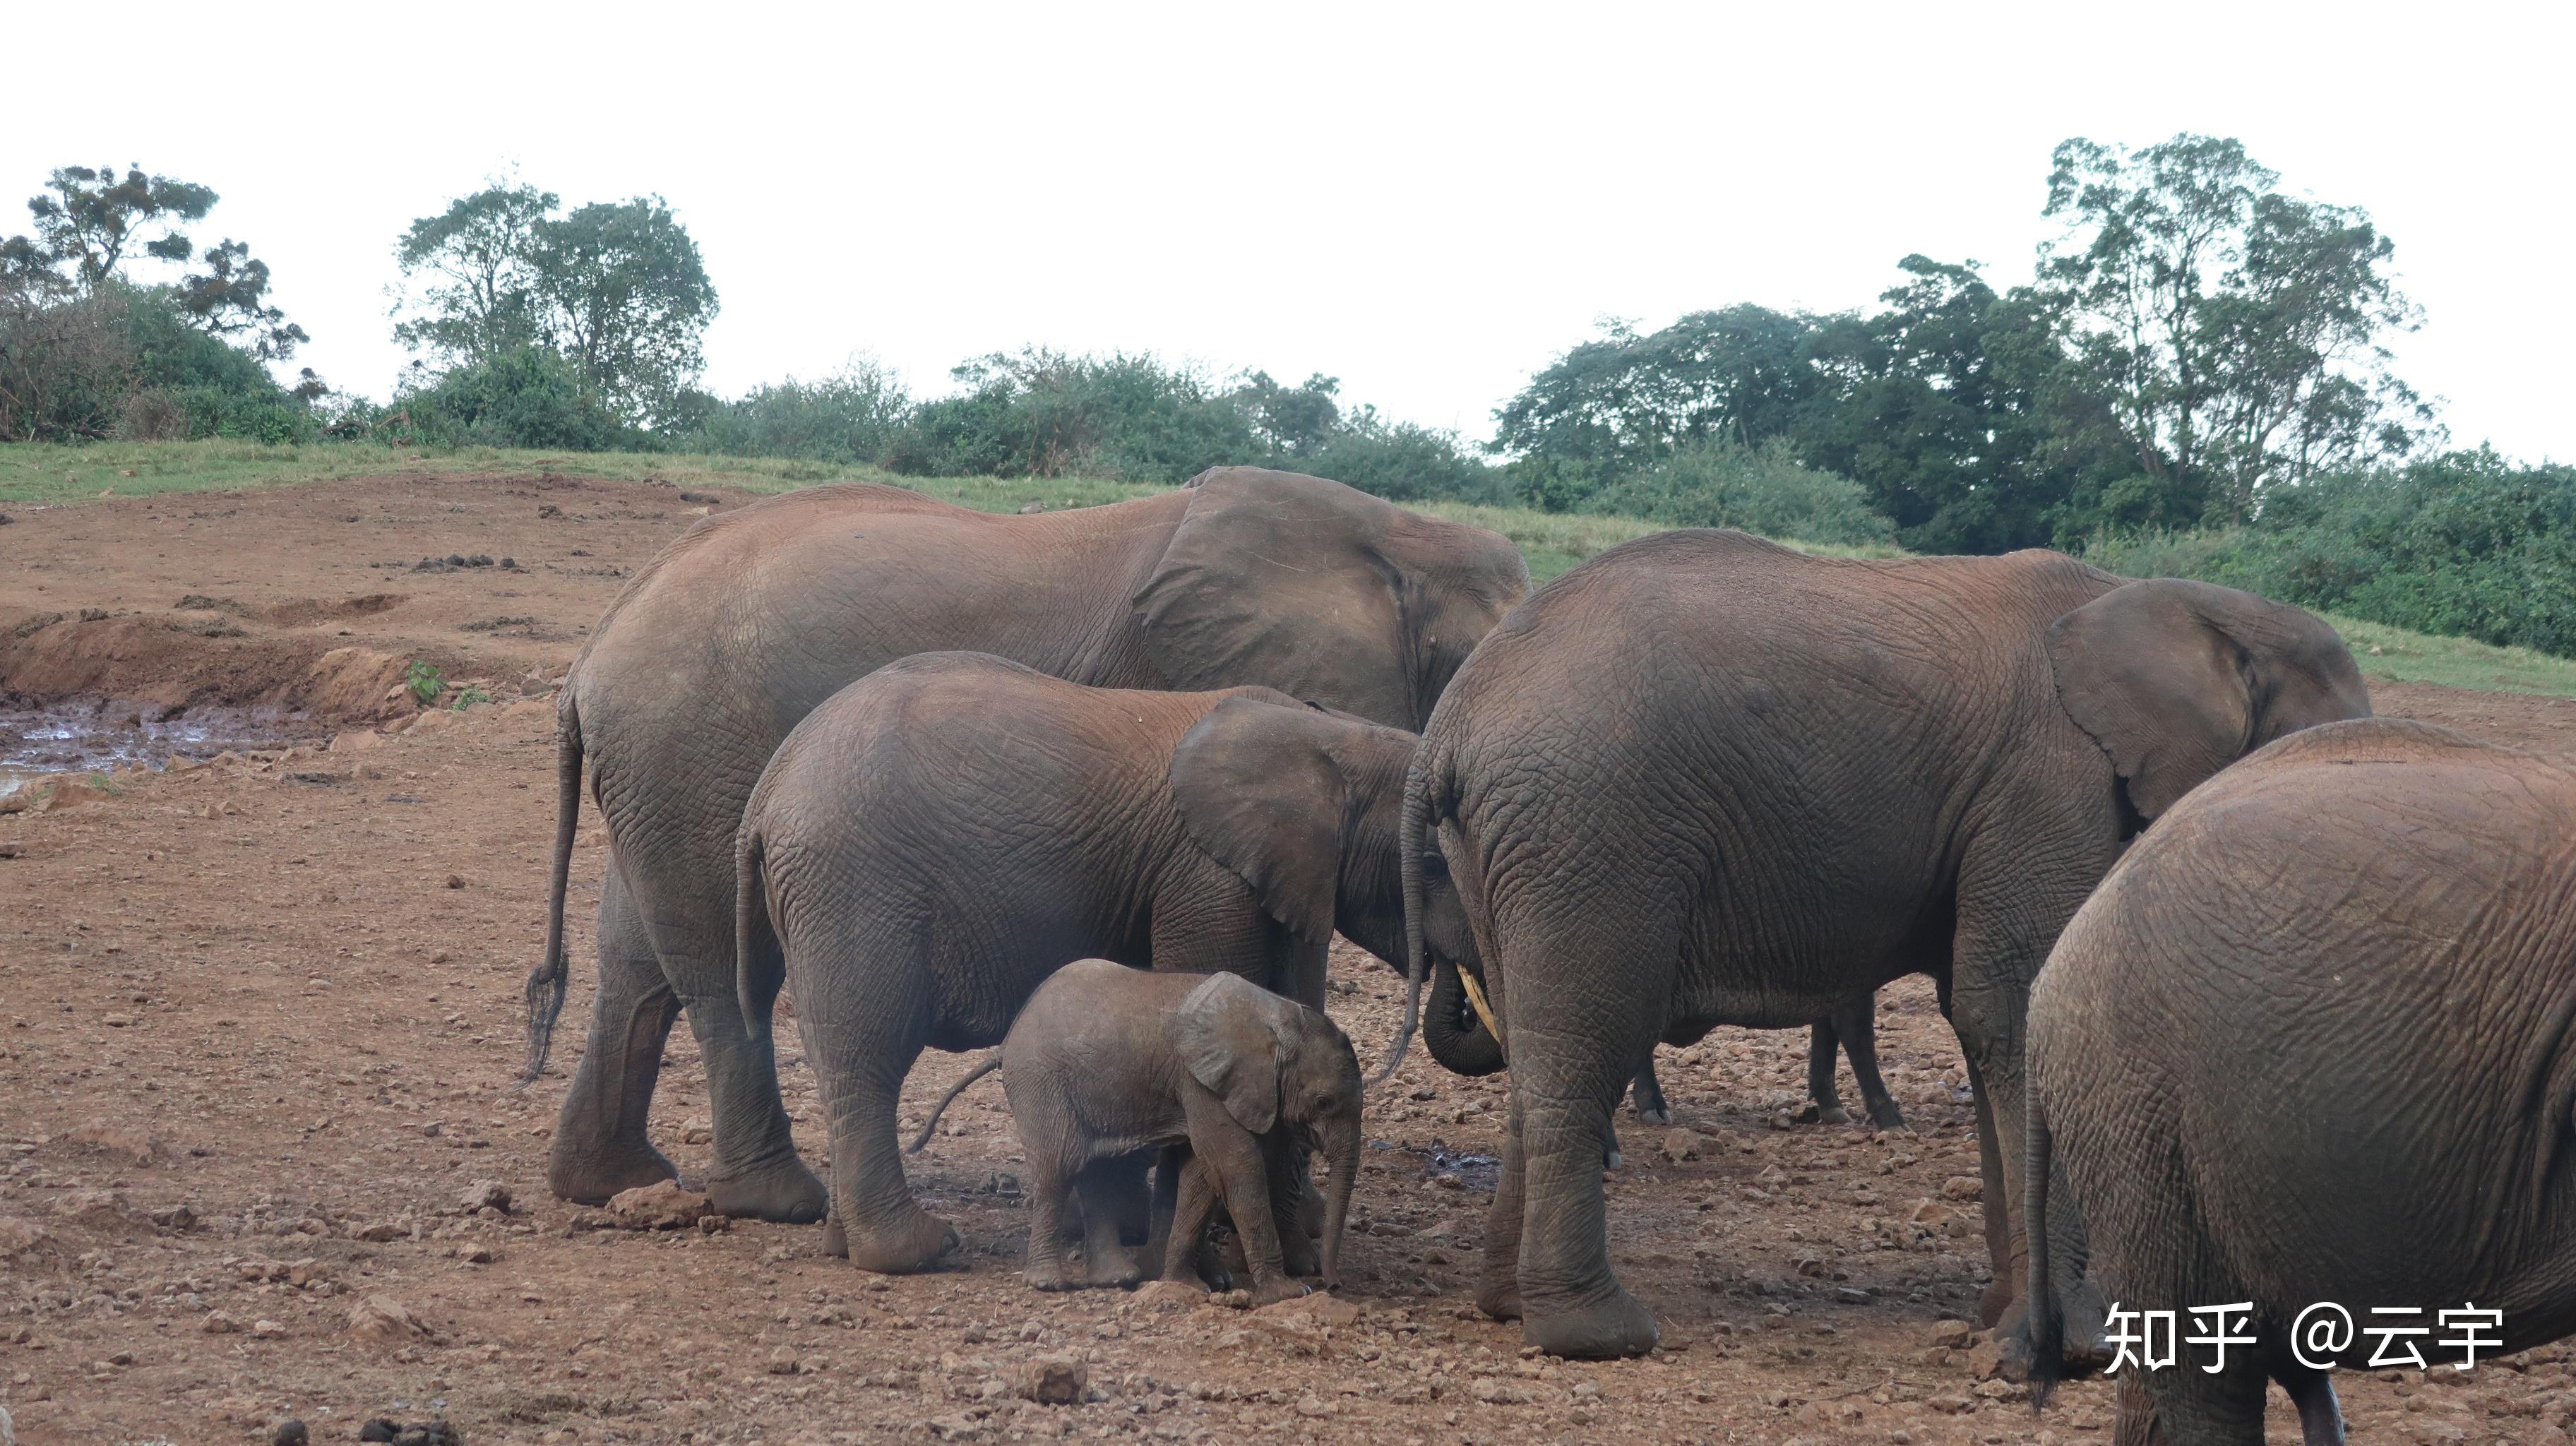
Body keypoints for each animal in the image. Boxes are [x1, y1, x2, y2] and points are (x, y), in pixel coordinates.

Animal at [917, 959, 1360, 1298]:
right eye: (1323, 1102)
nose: (1333, 1285)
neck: (1276, 1015)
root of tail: (1007, 1041)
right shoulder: (1201, 1082)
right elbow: (1236, 1165)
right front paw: (1287, 1293)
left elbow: (1199, 1173)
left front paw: (1188, 1284)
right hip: (1041, 1082)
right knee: (1061, 1166)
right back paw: (1049, 1284)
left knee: (1092, 1170)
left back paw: (1117, 1278)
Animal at [1401, 531, 2359, 1350]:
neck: (2192, 609)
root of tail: (1450, 725)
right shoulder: (2049, 782)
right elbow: (2012, 1006)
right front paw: (2077, 1346)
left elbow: (1982, 1019)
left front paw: (2000, 1319)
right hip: (1592, 830)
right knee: (1588, 1037)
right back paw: (1599, 1333)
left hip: (1516, 847)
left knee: (1538, 1039)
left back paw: (1510, 1306)